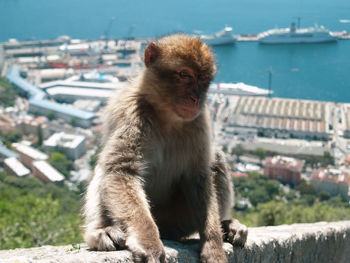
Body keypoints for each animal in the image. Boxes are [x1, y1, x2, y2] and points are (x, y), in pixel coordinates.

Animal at [83, 35, 247, 263]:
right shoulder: (133, 114)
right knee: (105, 169)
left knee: (216, 158)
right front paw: (149, 243)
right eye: (185, 75)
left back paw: (226, 225)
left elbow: (198, 176)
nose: (196, 98)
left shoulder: (199, 121)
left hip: (179, 220)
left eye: (202, 78)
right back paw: (102, 231)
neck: (167, 116)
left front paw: (213, 245)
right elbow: (121, 170)